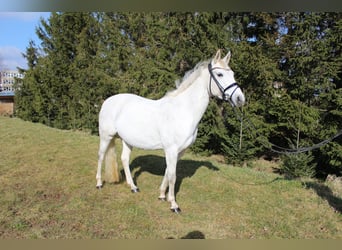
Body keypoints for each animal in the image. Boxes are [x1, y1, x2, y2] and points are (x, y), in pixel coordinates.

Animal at [96, 49, 244, 213]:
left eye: (233, 73)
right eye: (220, 74)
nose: (240, 99)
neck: (183, 111)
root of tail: (108, 101)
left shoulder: (179, 151)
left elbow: (168, 172)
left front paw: (162, 195)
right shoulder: (171, 150)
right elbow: (173, 176)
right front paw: (173, 204)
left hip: (127, 140)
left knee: (124, 159)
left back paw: (133, 187)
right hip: (106, 136)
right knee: (101, 156)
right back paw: (99, 183)